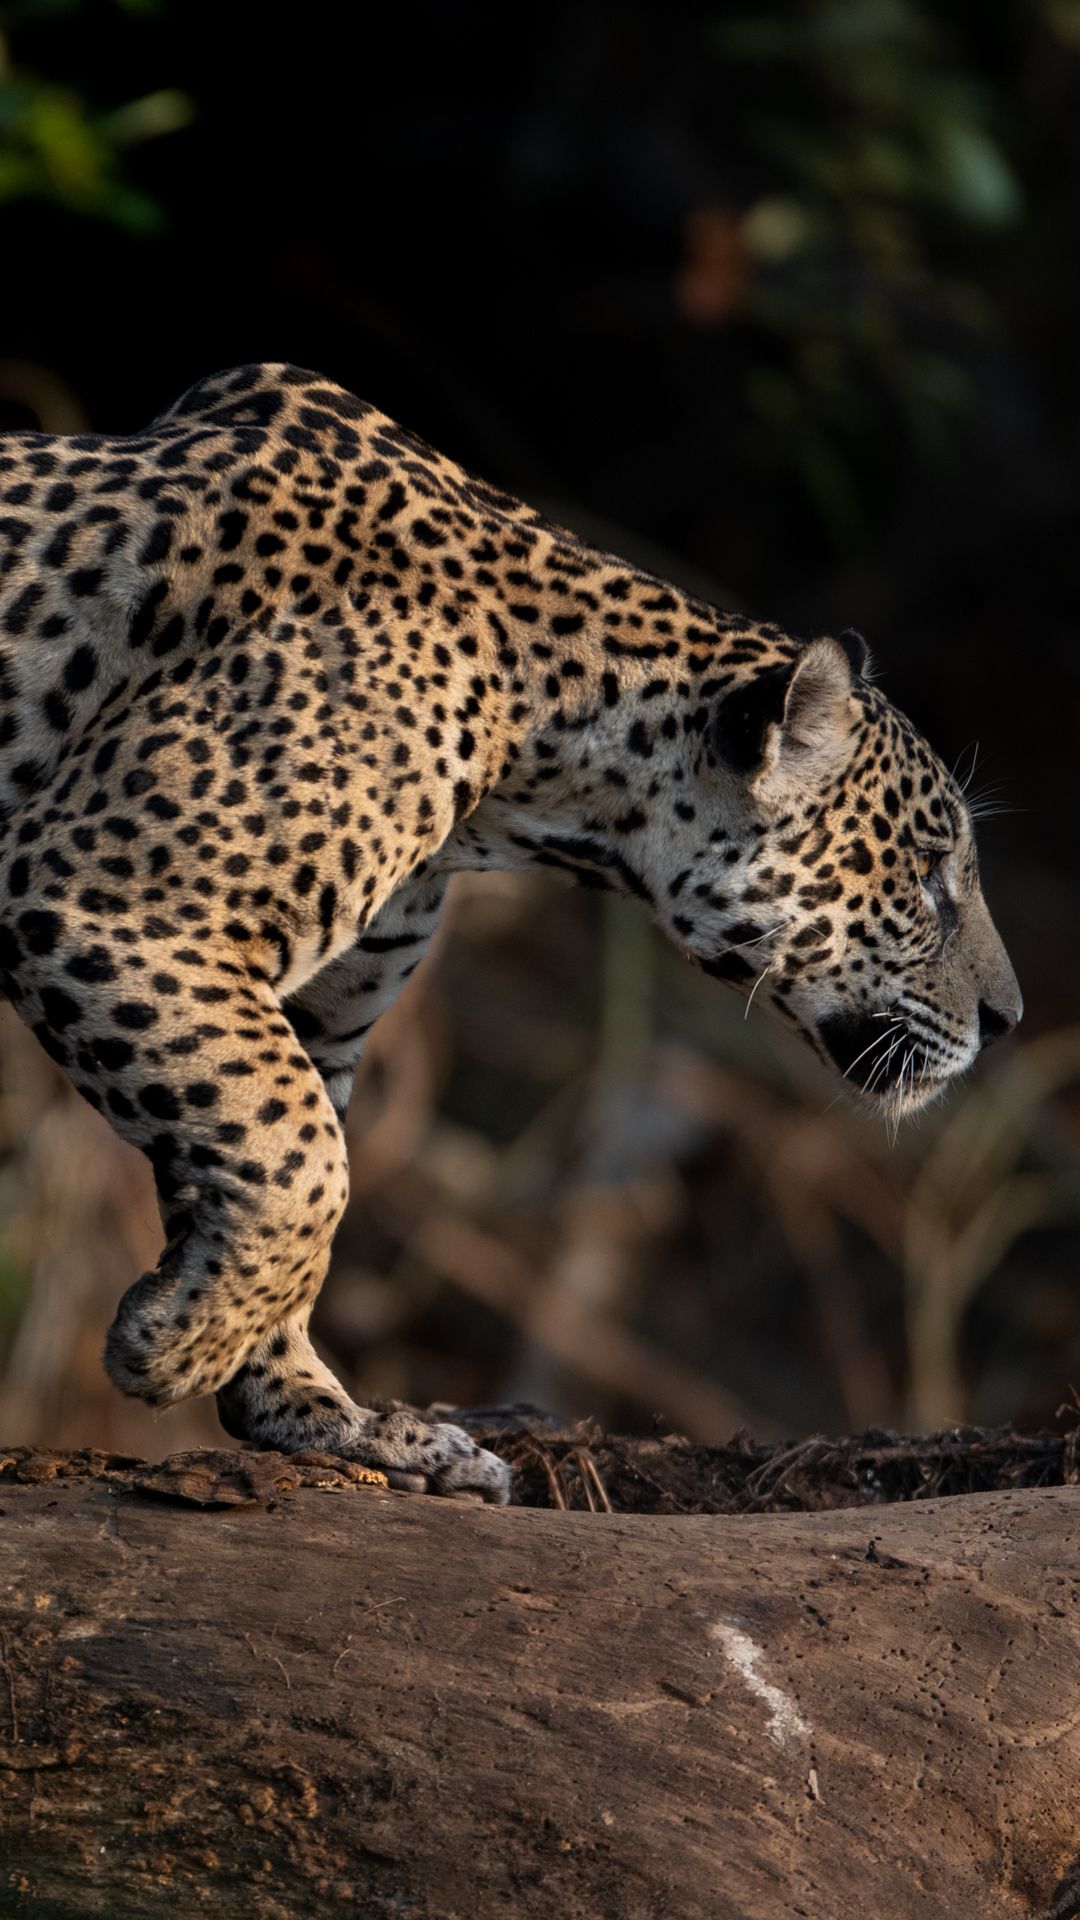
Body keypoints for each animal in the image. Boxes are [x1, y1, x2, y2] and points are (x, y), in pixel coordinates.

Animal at [0, 362, 1021, 1504]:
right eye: (927, 875)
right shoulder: (108, 895)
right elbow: (306, 1160)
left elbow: (276, 1159)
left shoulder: (305, 1010)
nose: (1011, 1018)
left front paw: (321, 1415)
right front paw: (174, 1348)